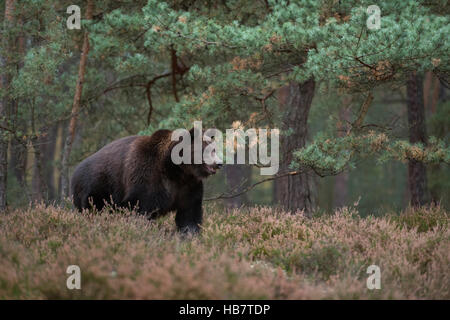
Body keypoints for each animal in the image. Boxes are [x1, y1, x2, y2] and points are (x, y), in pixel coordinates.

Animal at [70, 128, 221, 232]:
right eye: (207, 149)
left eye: (214, 149)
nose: (219, 163)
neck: (174, 170)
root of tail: (75, 171)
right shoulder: (147, 177)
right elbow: (141, 209)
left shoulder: (188, 186)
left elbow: (189, 214)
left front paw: (189, 234)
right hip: (97, 186)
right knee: (94, 208)